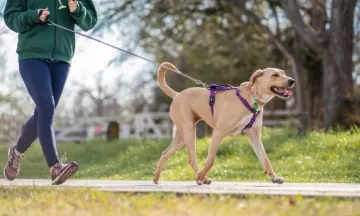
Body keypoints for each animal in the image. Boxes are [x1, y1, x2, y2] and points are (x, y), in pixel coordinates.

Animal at [153, 61, 296, 185]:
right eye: (275, 75)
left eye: (284, 73)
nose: (292, 81)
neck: (253, 98)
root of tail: (177, 95)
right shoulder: (218, 133)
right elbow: (210, 160)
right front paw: (200, 176)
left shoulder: (254, 137)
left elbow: (265, 159)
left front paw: (275, 177)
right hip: (189, 130)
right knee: (191, 158)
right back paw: (201, 177)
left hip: (181, 137)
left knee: (164, 153)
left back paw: (156, 177)